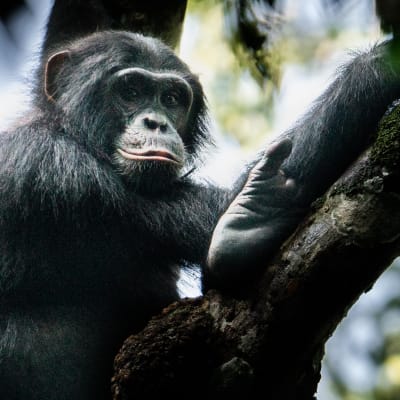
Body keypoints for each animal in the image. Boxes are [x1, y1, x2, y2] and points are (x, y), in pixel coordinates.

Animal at [0, 31, 398, 400]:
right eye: (130, 91)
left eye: (171, 99)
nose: (156, 122)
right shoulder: (57, 169)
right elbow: (210, 216)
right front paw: (382, 65)